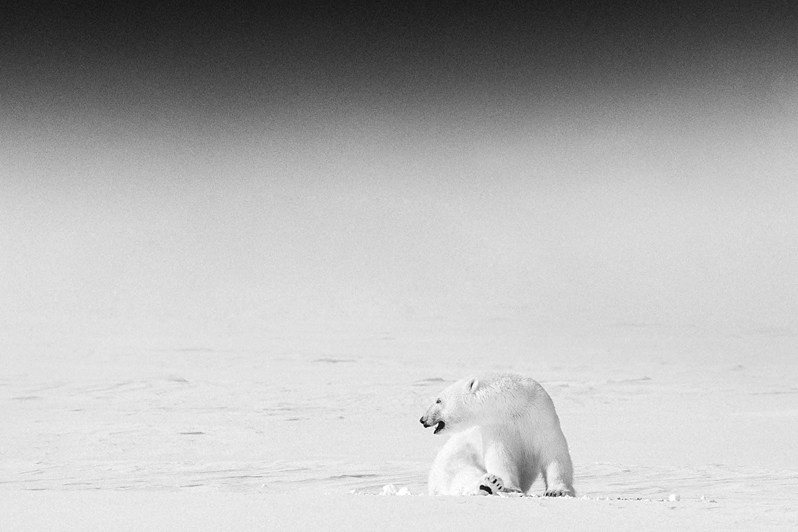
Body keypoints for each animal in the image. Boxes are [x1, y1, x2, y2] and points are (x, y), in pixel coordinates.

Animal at [419, 373, 574, 496]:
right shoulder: (497, 428)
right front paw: (511, 488)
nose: (423, 419)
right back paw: (488, 484)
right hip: (453, 460)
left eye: (438, 400)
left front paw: (557, 491)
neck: (513, 405)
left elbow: (553, 453)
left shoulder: (540, 416)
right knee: (463, 476)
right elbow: (500, 456)